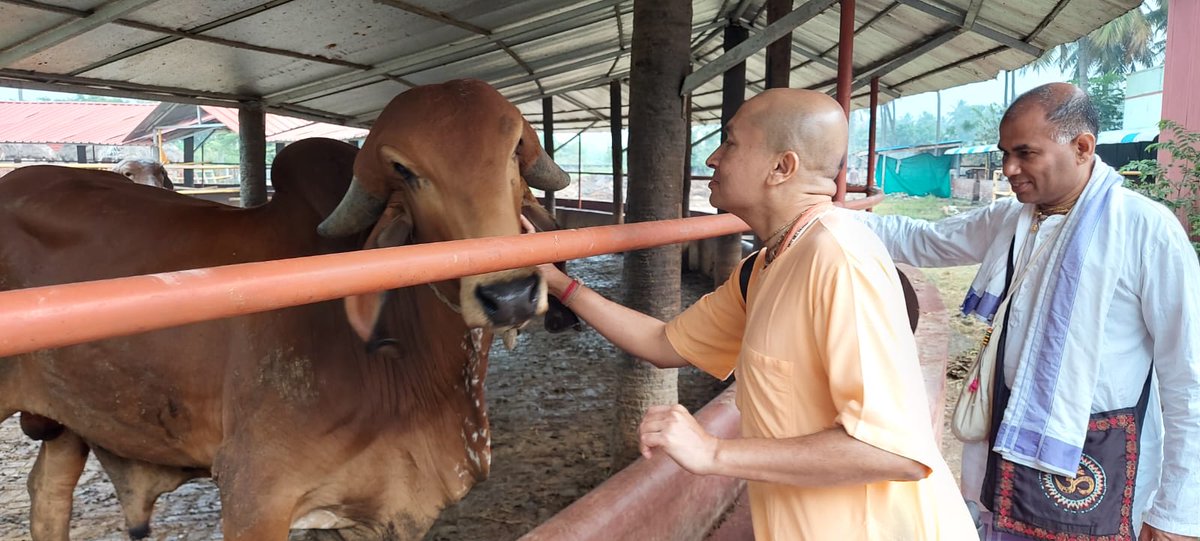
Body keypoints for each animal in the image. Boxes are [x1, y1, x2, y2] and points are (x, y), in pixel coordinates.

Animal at [0, 79, 571, 541]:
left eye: (515, 151)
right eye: (404, 171)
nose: (510, 295)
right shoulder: (255, 493)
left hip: (72, 418)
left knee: (47, 490)